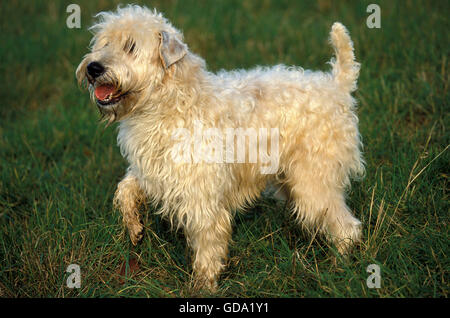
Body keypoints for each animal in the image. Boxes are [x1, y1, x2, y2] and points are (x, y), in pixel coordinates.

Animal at [76, 5, 366, 294]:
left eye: (131, 46)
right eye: (104, 42)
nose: (93, 68)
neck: (169, 101)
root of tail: (337, 86)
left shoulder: (201, 195)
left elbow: (207, 243)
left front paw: (203, 286)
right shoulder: (154, 171)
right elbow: (125, 188)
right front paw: (134, 227)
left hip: (313, 183)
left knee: (347, 228)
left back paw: (337, 268)